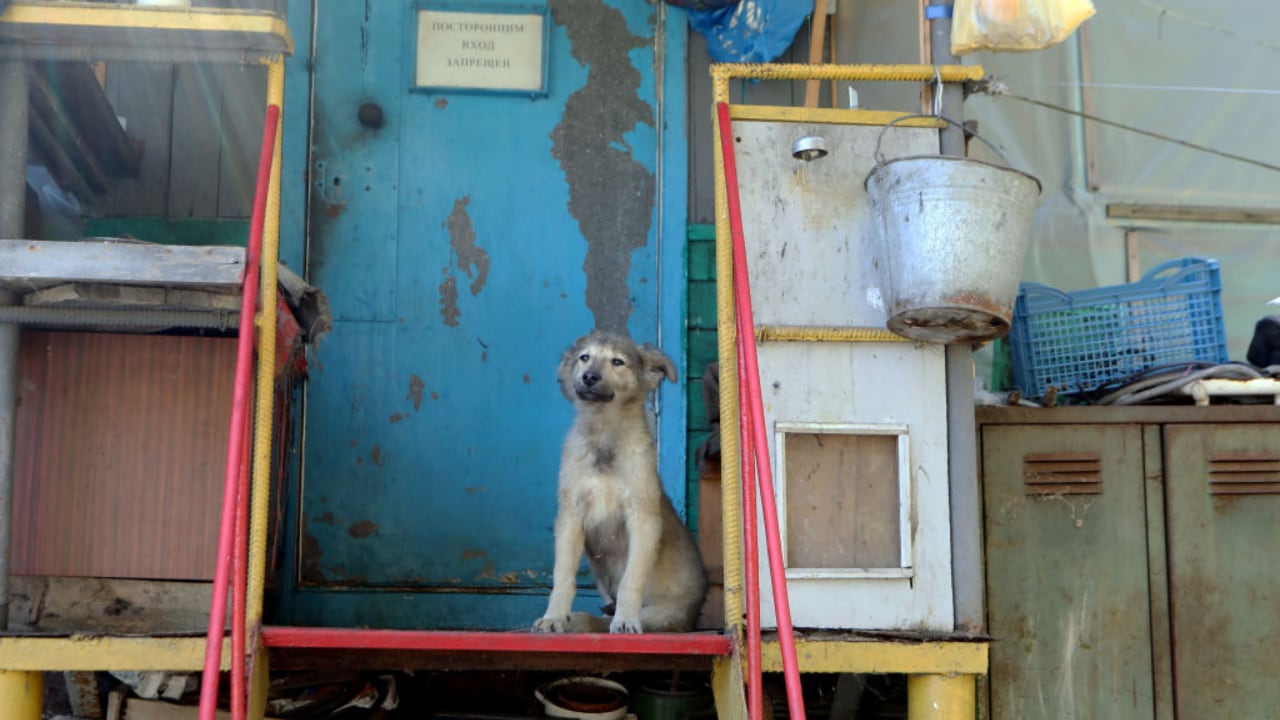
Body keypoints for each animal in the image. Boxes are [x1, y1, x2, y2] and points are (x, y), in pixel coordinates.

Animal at [532, 327, 711, 630]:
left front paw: (626, 619)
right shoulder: (570, 515)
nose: (589, 377)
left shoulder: (643, 518)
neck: (605, 435)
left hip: (660, 615)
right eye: (584, 357)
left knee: (601, 621)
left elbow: (631, 578)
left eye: (618, 362)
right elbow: (563, 576)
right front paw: (554, 616)